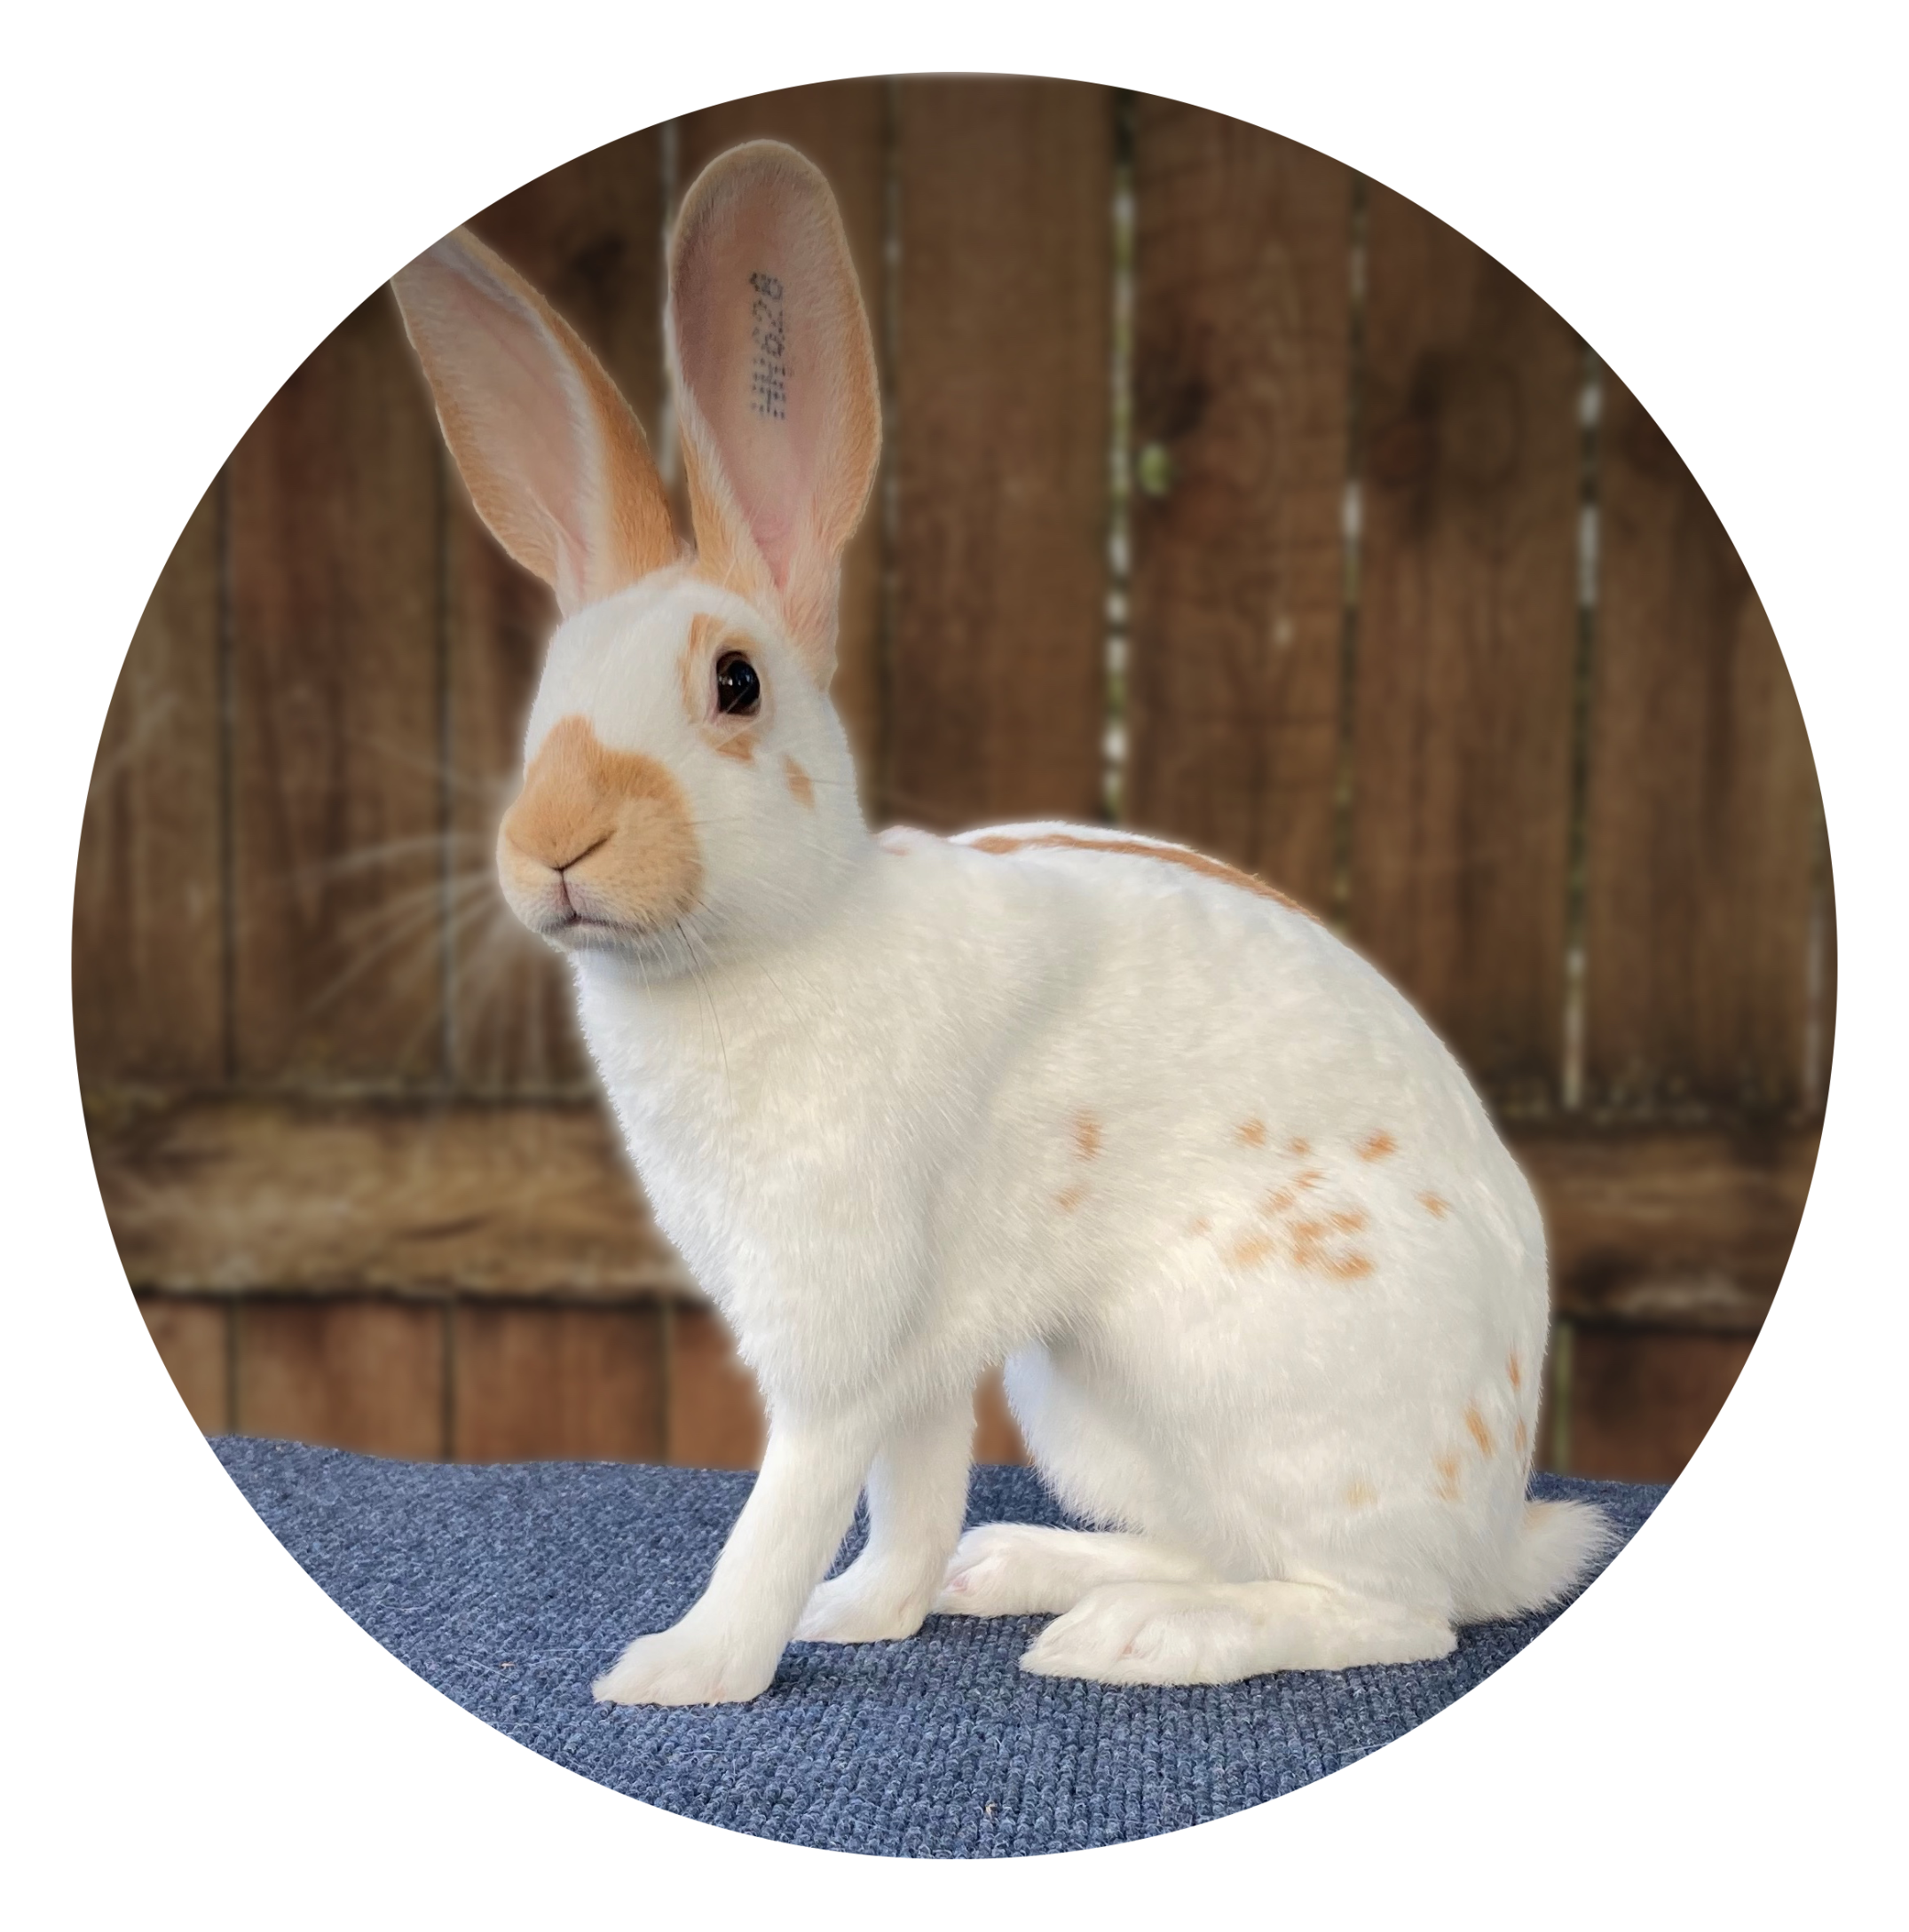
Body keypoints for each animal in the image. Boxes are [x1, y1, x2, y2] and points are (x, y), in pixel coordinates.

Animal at [390, 138, 1613, 1705]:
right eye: (548, 696)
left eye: (734, 683)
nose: (552, 846)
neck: (781, 943)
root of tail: (1498, 1517)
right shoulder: (922, 1352)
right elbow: (906, 1495)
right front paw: (866, 1612)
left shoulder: (838, 1333)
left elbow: (789, 1502)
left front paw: (684, 1669)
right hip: (1084, 1398)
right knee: (1233, 1551)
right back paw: (1030, 1573)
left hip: (1246, 1381)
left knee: (1385, 1613)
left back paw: (1136, 1638)